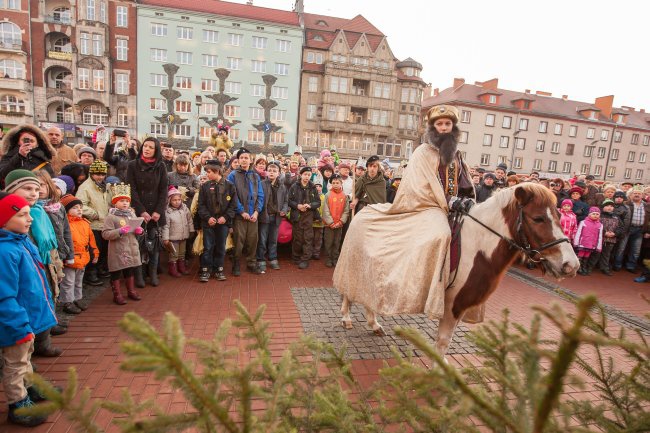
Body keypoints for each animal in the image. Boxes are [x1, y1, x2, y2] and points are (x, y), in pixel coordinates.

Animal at [340, 182, 576, 354]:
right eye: (538, 218)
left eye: (559, 215)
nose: (571, 265)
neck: (477, 246)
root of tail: (363, 209)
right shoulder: (451, 304)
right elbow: (443, 342)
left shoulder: (462, 305)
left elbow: (446, 340)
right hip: (353, 264)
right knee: (348, 293)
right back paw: (346, 318)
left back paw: (374, 324)